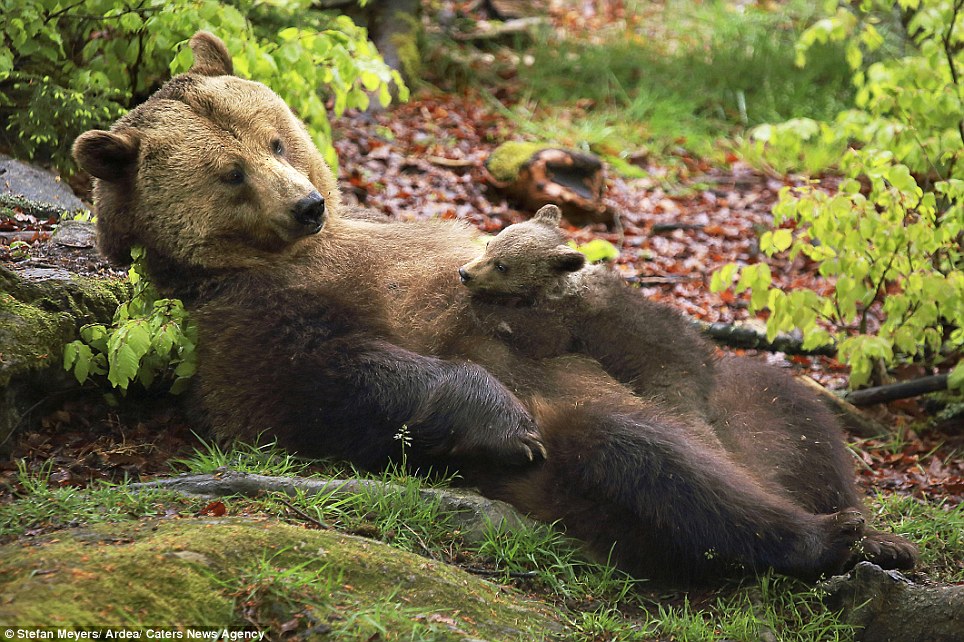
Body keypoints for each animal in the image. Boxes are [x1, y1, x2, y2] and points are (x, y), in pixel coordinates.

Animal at [71, 31, 916, 580]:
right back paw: (821, 536)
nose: (306, 205)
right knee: (652, 461)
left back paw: (874, 532)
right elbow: (333, 374)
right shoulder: (250, 316)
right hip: (575, 462)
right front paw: (502, 420)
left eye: (276, 139)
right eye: (230, 173)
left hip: (750, 412)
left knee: (791, 411)